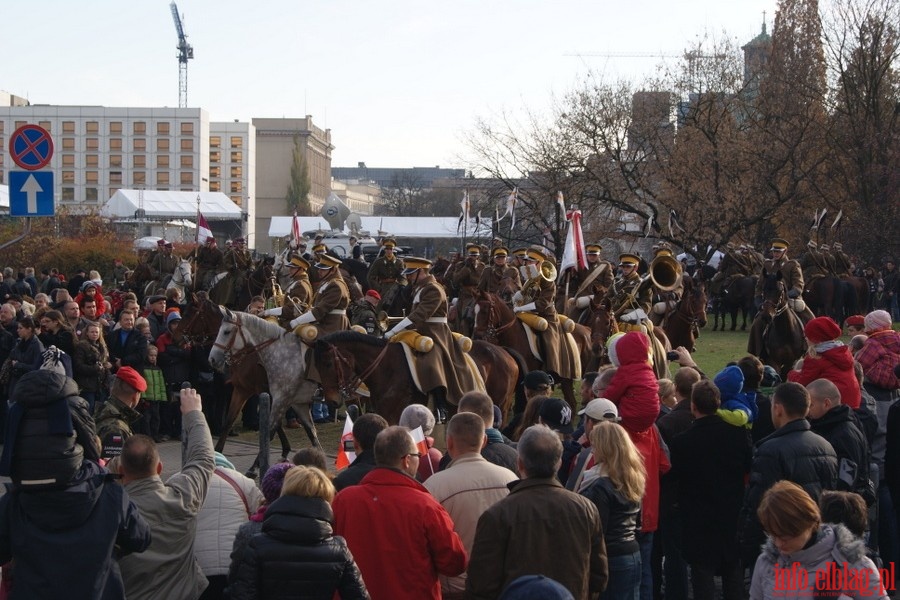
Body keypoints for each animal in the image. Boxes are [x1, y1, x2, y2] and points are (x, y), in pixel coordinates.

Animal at [206, 308, 322, 462]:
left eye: (226, 332)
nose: (212, 359)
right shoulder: (241, 390)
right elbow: (229, 421)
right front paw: (218, 452)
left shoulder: (270, 394)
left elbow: (273, 426)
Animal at [312, 330, 520, 424]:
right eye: (316, 366)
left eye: (328, 364)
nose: (331, 401)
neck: (386, 369)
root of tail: (503, 351)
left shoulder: (396, 416)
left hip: (501, 404)